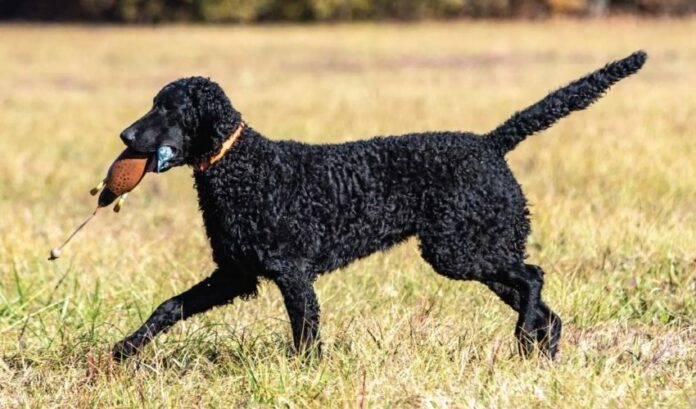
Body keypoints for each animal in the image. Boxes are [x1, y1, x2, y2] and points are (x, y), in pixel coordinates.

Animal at [110, 49, 648, 358]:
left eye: (168, 108)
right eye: (153, 103)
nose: (125, 135)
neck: (244, 166)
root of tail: (489, 143)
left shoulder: (291, 272)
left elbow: (305, 334)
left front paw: (306, 376)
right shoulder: (236, 274)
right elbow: (169, 307)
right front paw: (123, 349)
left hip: (460, 251)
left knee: (534, 279)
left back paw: (522, 340)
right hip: (479, 251)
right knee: (544, 310)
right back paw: (540, 355)